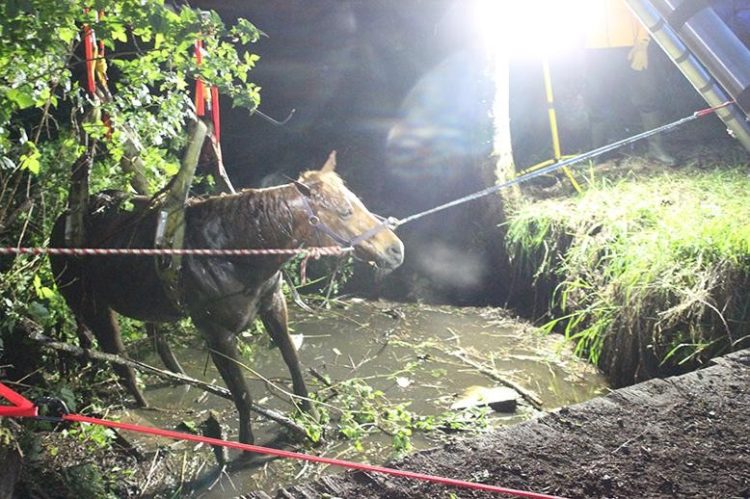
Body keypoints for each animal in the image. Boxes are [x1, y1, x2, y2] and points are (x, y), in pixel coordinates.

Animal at [48, 153, 406, 446]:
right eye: (345, 212)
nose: (396, 250)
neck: (234, 249)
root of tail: (60, 222)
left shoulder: (274, 306)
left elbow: (293, 361)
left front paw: (310, 415)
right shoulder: (217, 334)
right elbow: (242, 394)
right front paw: (246, 446)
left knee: (153, 338)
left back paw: (178, 377)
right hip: (91, 304)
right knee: (116, 354)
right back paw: (141, 403)